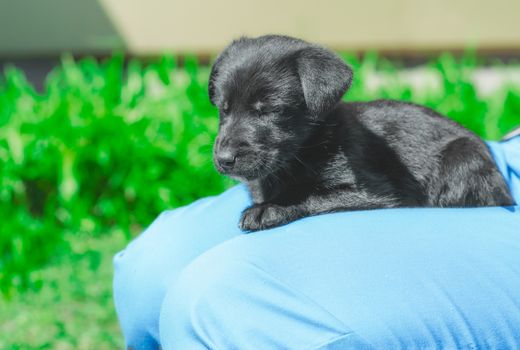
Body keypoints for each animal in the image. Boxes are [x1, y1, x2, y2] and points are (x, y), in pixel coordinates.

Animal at [210, 34, 512, 232]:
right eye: (223, 109)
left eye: (269, 110)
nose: (224, 160)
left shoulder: (372, 194)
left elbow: (311, 196)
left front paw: (268, 209)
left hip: (462, 158)